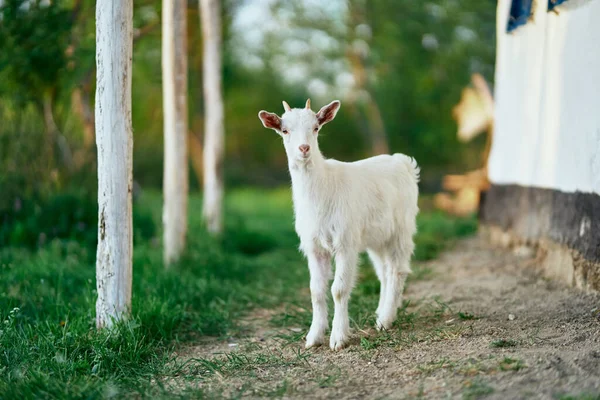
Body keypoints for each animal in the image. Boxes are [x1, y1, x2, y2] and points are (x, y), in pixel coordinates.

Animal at [258, 99, 422, 350]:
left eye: (316, 127)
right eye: (284, 130)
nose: (304, 149)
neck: (323, 187)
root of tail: (402, 161)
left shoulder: (345, 242)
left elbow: (339, 289)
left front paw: (338, 337)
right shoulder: (314, 247)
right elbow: (316, 290)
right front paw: (313, 337)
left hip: (401, 229)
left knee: (397, 269)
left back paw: (385, 320)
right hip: (376, 237)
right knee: (384, 271)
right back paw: (381, 313)